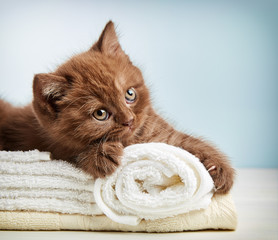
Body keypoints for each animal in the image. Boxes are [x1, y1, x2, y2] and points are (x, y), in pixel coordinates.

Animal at [0, 20, 235, 193]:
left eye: (129, 94)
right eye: (100, 113)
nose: (129, 120)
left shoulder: (161, 136)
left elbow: (189, 143)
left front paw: (219, 168)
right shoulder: (50, 147)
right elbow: (73, 153)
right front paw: (100, 155)